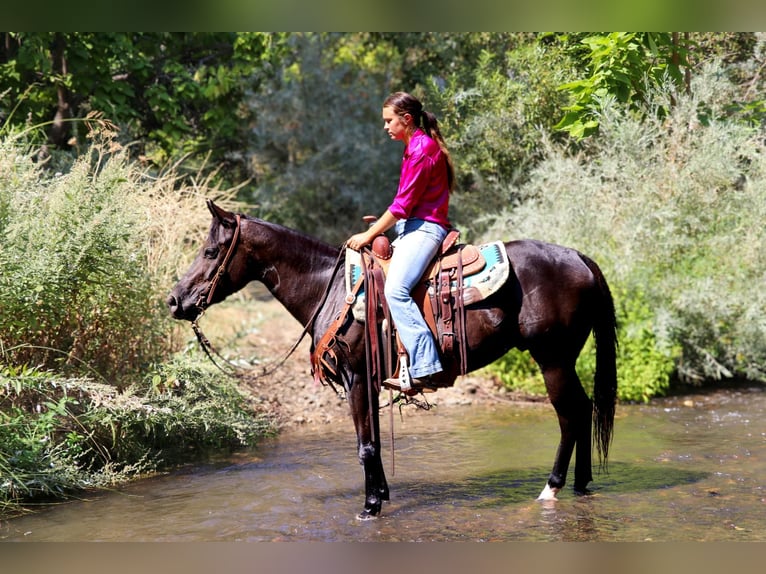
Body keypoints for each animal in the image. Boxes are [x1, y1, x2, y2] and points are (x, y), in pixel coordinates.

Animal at [168, 200, 616, 520]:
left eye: (210, 250)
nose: (174, 300)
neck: (330, 289)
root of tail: (579, 257)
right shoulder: (367, 382)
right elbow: (376, 442)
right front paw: (381, 494)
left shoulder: (355, 378)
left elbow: (365, 445)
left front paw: (369, 508)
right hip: (564, 359)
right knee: (584, 409)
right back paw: (582, 484)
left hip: (552, 358)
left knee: (570, 415)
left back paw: (551, 488)